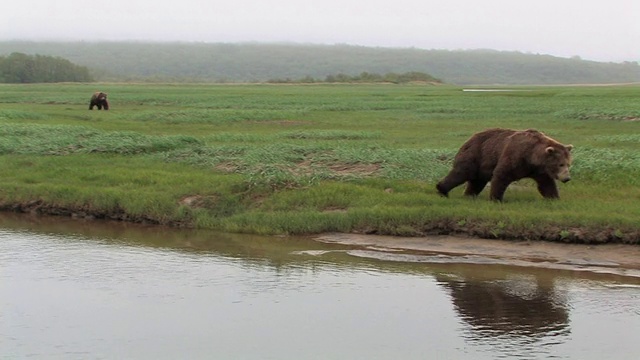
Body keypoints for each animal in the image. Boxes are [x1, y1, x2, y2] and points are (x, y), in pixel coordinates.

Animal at [438, 128, 572, 201]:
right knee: (460, 173)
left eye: (568, 164)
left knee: (477, 182)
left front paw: (554, 198)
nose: (567, 178)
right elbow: (501, 175)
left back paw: (469, 195)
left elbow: (547, 184)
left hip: (481, 166)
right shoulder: (515, 156)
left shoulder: (538, 170)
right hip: (475, 155)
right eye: (560, 164)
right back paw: (442, 190)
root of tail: (470, 138)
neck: (532, 157)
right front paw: (495, 198)